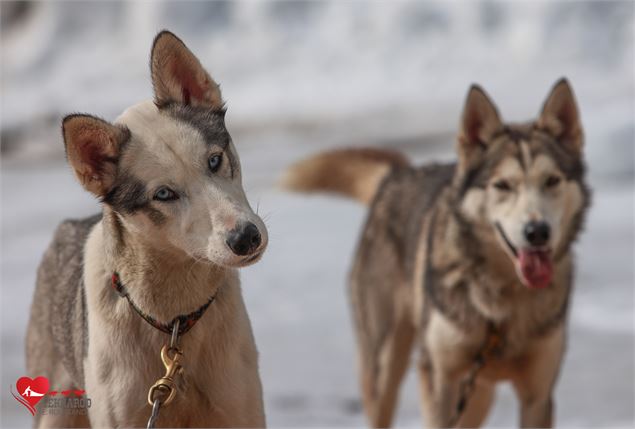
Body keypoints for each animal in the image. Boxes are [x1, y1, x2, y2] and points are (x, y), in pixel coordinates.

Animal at [24, 30, 268, 428]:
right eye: (164, 194)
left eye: (215, 160)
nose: (246, 237)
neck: (174, 323)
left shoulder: (240, 410)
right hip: (53, 410)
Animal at [286, 78, 592, 426]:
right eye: (502, 185)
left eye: (552, 180)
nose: (537, 232)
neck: (500, 310)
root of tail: (396, 175)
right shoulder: (438, 379)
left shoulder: (537, 395)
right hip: (385, 366)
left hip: (478, 394)